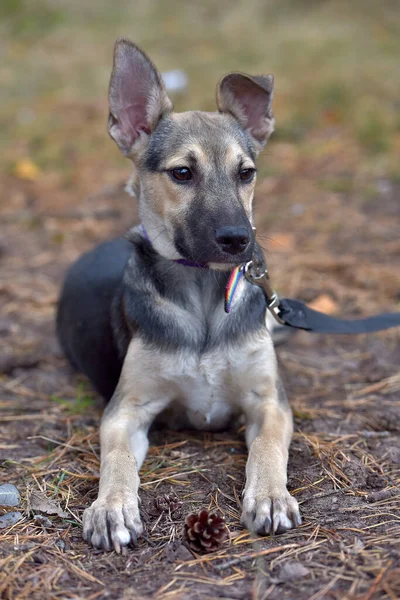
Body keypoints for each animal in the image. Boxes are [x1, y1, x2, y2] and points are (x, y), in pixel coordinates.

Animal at [55, 37, 300, 552]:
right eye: (183, 172)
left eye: (247, 173)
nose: (240, 240)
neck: (203, 294)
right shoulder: (126, 410)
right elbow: (115, 458)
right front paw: (112, 506)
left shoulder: (269, 401)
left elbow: (268, 447)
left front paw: (270, 495)